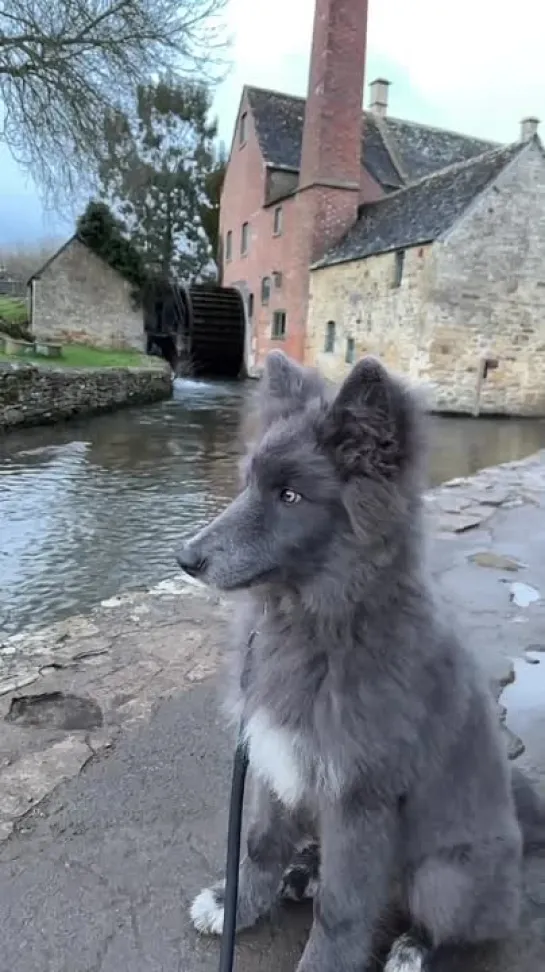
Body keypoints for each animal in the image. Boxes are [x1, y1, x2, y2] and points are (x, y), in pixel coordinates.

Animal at [176, 352, 540, 972]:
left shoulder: (360, 798)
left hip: (445, 877)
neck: (320, 627)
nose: (186, 558)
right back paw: (302, 874)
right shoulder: (277, 755)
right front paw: (234, 904)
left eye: (290, 496)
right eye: (249, 483)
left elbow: (343, 909)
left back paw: (412, 948)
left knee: (452, 926)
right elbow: (261, 843)